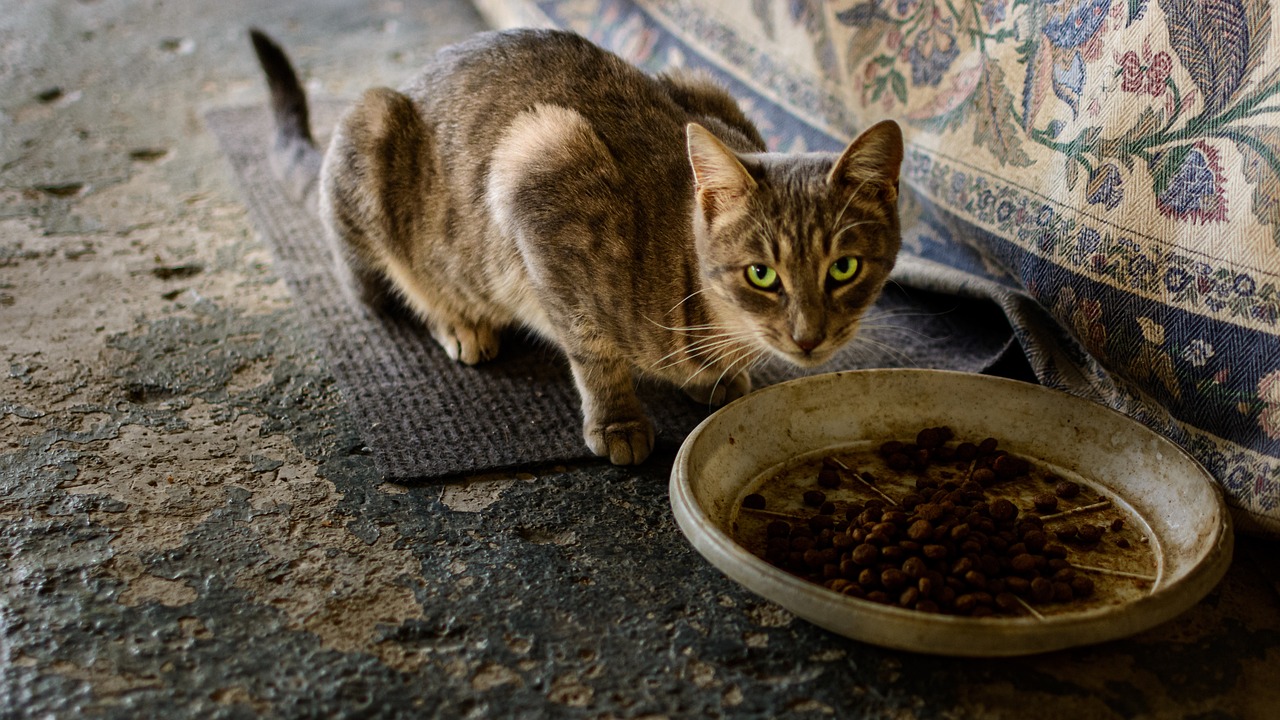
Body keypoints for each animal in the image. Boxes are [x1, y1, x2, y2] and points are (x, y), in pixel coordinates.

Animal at [249, 25, 906, 461]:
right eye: (762, 274)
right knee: (394, 290)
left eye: (844, 269)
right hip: (372, 141)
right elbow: (592, 350)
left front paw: (714, 381)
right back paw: (459, 320)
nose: (809, 336)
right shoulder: (540, 172)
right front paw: (617, 421)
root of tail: (406, 79)